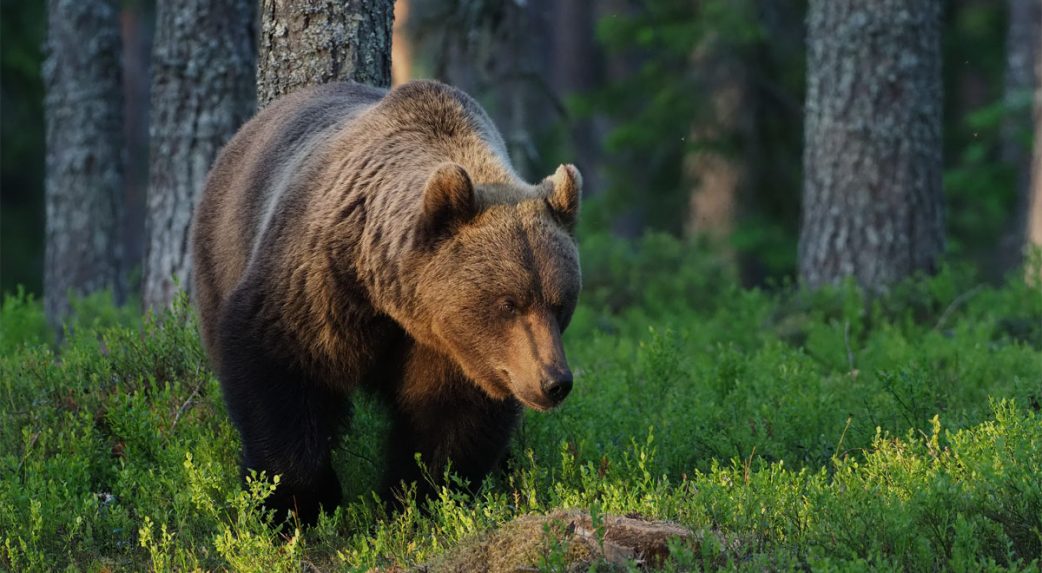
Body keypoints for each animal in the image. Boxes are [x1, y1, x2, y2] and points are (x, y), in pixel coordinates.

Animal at [191, 80, 583, 525]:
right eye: (509, 303)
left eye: (560, 302)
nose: (554, 382)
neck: (392, 298)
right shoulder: (317, 286)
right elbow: (279, 371)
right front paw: (298, 502)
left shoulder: (453, 348)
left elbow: (448, 419)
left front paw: (417, 499)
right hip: (220, 256)